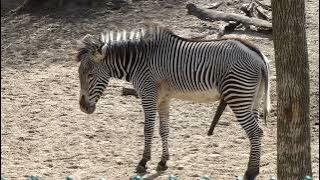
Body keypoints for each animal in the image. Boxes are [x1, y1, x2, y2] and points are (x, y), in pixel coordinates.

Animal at [75, 21, 270, 179]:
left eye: (90, 75)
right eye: (80, 74)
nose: (83, 107)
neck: (139, 61)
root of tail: (258, 55)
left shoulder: (148, 95)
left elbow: (148, 129)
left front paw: (143, 161)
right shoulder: (163, 98)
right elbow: (164, 130)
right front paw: (163, 162)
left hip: (238, 96)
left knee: (255, 132)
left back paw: (251, 172)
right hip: (252, 98)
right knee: (257, 132)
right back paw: (255, 168)